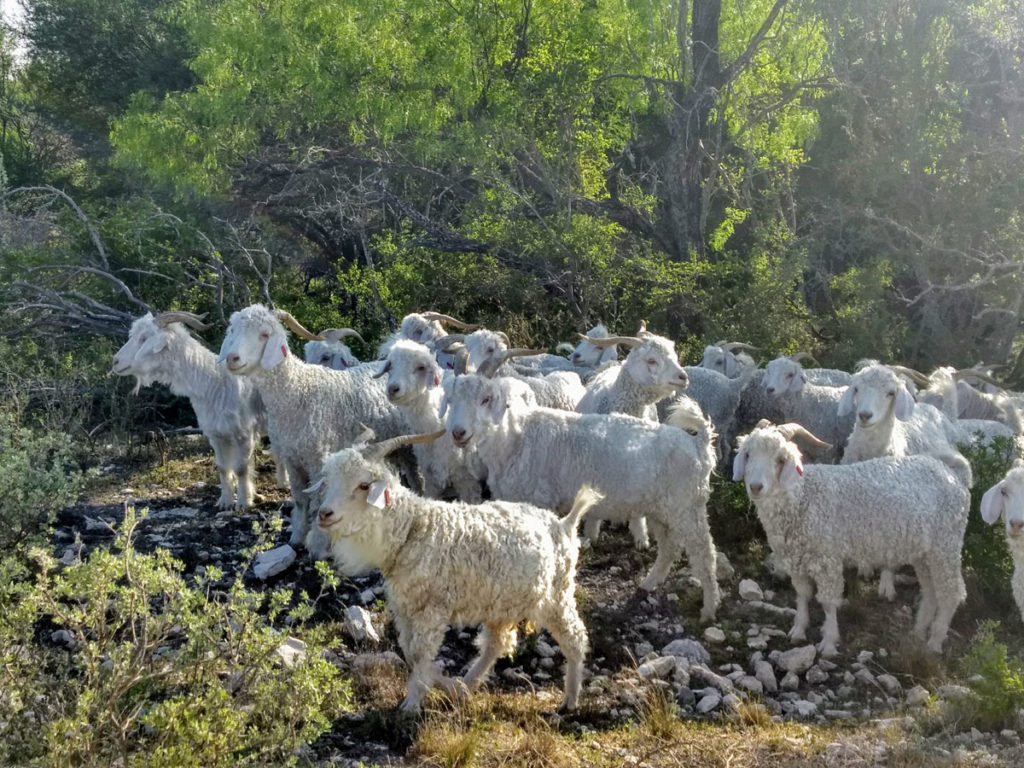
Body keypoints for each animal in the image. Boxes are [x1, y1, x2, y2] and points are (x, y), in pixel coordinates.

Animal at [113, 313, 276, 512]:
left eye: (143, 338)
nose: (115, 361)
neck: (214, 383)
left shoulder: (243, 433)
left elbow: (241, 468)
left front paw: (243, 503)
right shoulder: (217, 434)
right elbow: (223, 467)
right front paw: (225, 502)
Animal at [218, 307, 409, 561]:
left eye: (264, 334)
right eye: (232, 330)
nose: (232, 358)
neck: (297, 392)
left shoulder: (318, 458)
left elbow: (318, 503)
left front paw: (319, 546)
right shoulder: (292, 458)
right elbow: (300, 500)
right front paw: (297, 537)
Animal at [442, 376, 720, 622]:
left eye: (486, 399)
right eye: (452, 399)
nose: (458, 433)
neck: (515, 439)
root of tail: (698, 444)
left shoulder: (540, 502)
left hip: (687, 507)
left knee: (705, 554)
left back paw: (709, 609)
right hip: (660, 510)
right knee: (669, 548)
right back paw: (648, 584)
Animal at [737, 423, 966, 659]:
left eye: (780, 459)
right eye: (747, 454)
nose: (756, 487)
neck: (804, 497)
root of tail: (952, 475)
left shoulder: (828, 560)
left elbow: (828, 602)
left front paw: (829, 642)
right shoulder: (796, 562)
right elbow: (802, 595)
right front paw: (798, 630)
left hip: (946, 544)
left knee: (951, 592)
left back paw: (934, 641)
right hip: (924, 552)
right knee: (931, 590)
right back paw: (918, 633)